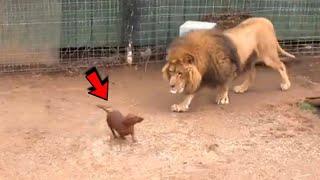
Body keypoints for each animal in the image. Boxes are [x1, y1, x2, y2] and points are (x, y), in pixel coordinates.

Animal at [162, 17, 296, 112]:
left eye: (180, 73)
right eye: (171, 72)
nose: (171, 86)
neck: (204, 60)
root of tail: (267, 20)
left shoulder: (227, 67)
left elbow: (224, 84)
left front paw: (222, 98)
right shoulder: (202, 75)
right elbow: (190, 94)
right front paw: (181, 106)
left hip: (267, 55)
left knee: (281, 65)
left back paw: (286, 84)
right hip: (247, 60)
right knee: (253, 73)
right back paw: (242, 88)